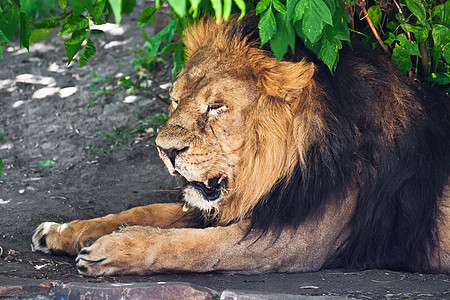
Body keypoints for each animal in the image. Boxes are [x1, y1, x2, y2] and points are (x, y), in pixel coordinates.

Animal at [29, 14, 448, 276]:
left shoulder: (294, 241)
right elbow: (146, 210)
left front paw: (113, 250)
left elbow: (193, 247)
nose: (165, 150)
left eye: (216, 107)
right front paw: (65, 230)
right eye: (175, 99)